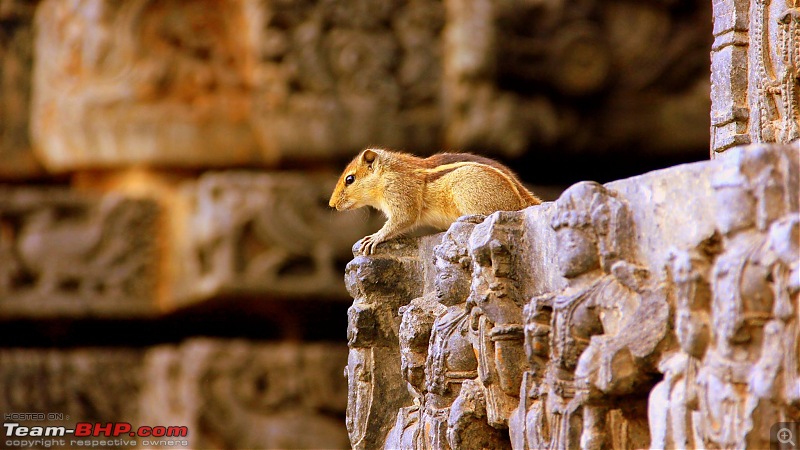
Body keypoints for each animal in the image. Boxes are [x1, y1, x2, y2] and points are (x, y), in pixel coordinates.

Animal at [328, 148, 540, 253]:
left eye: (350, 179)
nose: (331, 204)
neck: (386, 174)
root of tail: (525, 199)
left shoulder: (400, 193)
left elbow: (403, 218)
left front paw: (375, 237)